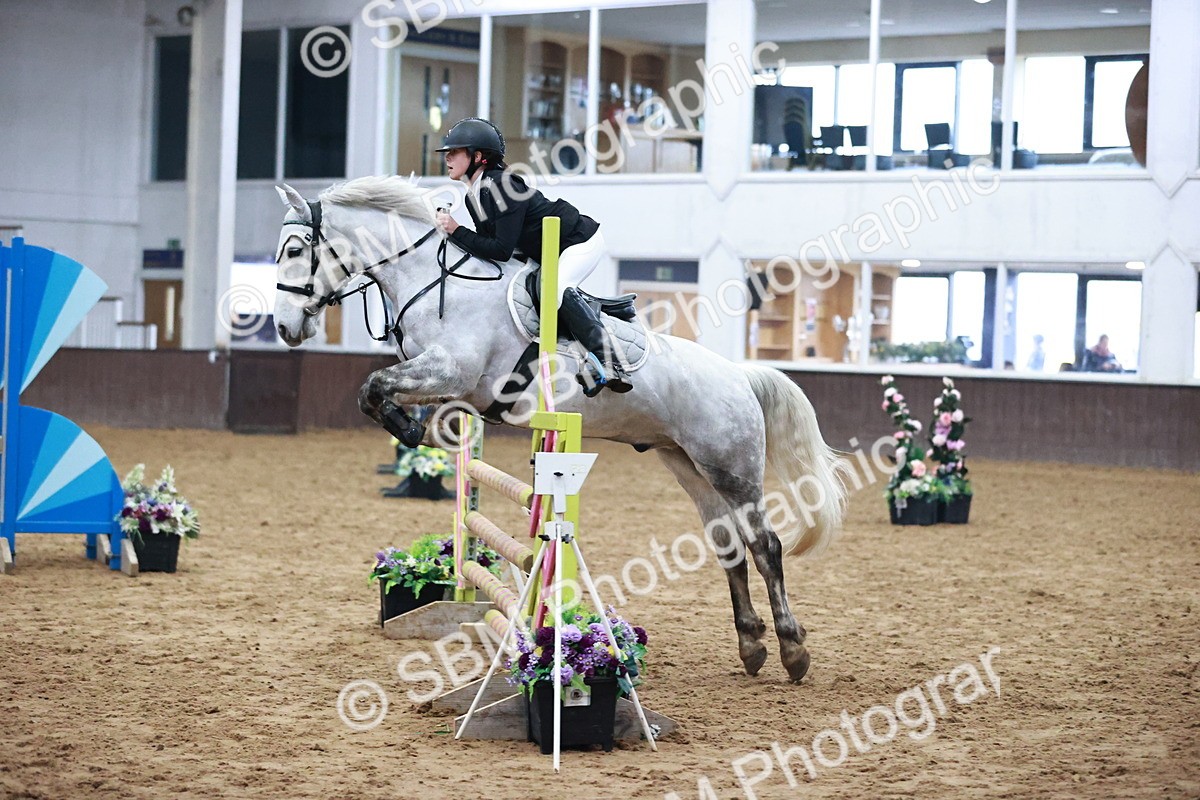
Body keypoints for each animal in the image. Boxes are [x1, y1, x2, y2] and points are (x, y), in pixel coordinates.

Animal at [272, 176, 847, 683]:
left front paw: (408, 432)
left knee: (766, 544)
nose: (284, 327)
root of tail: (740, 374)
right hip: (687, 463)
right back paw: (751, 645)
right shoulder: (442, 381)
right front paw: (409, 430)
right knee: (730, 544)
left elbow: (373, 385)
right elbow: (374, 390)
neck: (429, 280)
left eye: (296, 249)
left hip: (731, 466)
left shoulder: (451, 371)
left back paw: (793, 650)